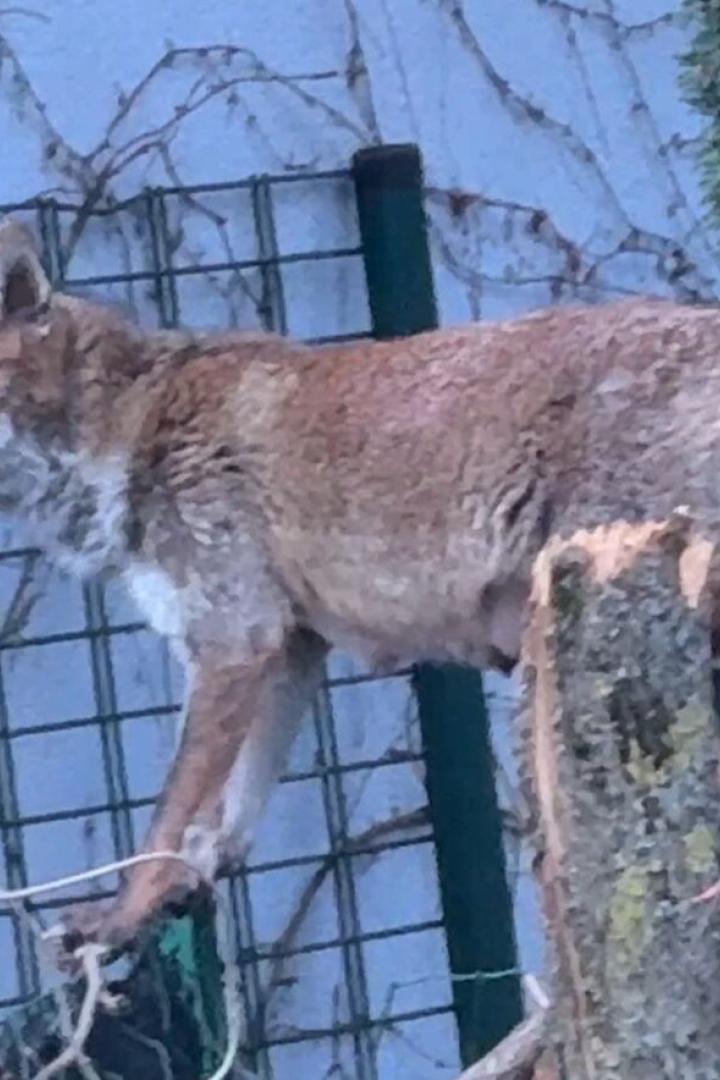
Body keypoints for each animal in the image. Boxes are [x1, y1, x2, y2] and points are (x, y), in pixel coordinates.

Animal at [0, 213, 719, 953]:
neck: (130, 431)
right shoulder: (288, 649)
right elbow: (224, 821)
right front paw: (183, 887)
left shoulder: (233, 642)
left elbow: (165, 821)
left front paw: (118, 920)